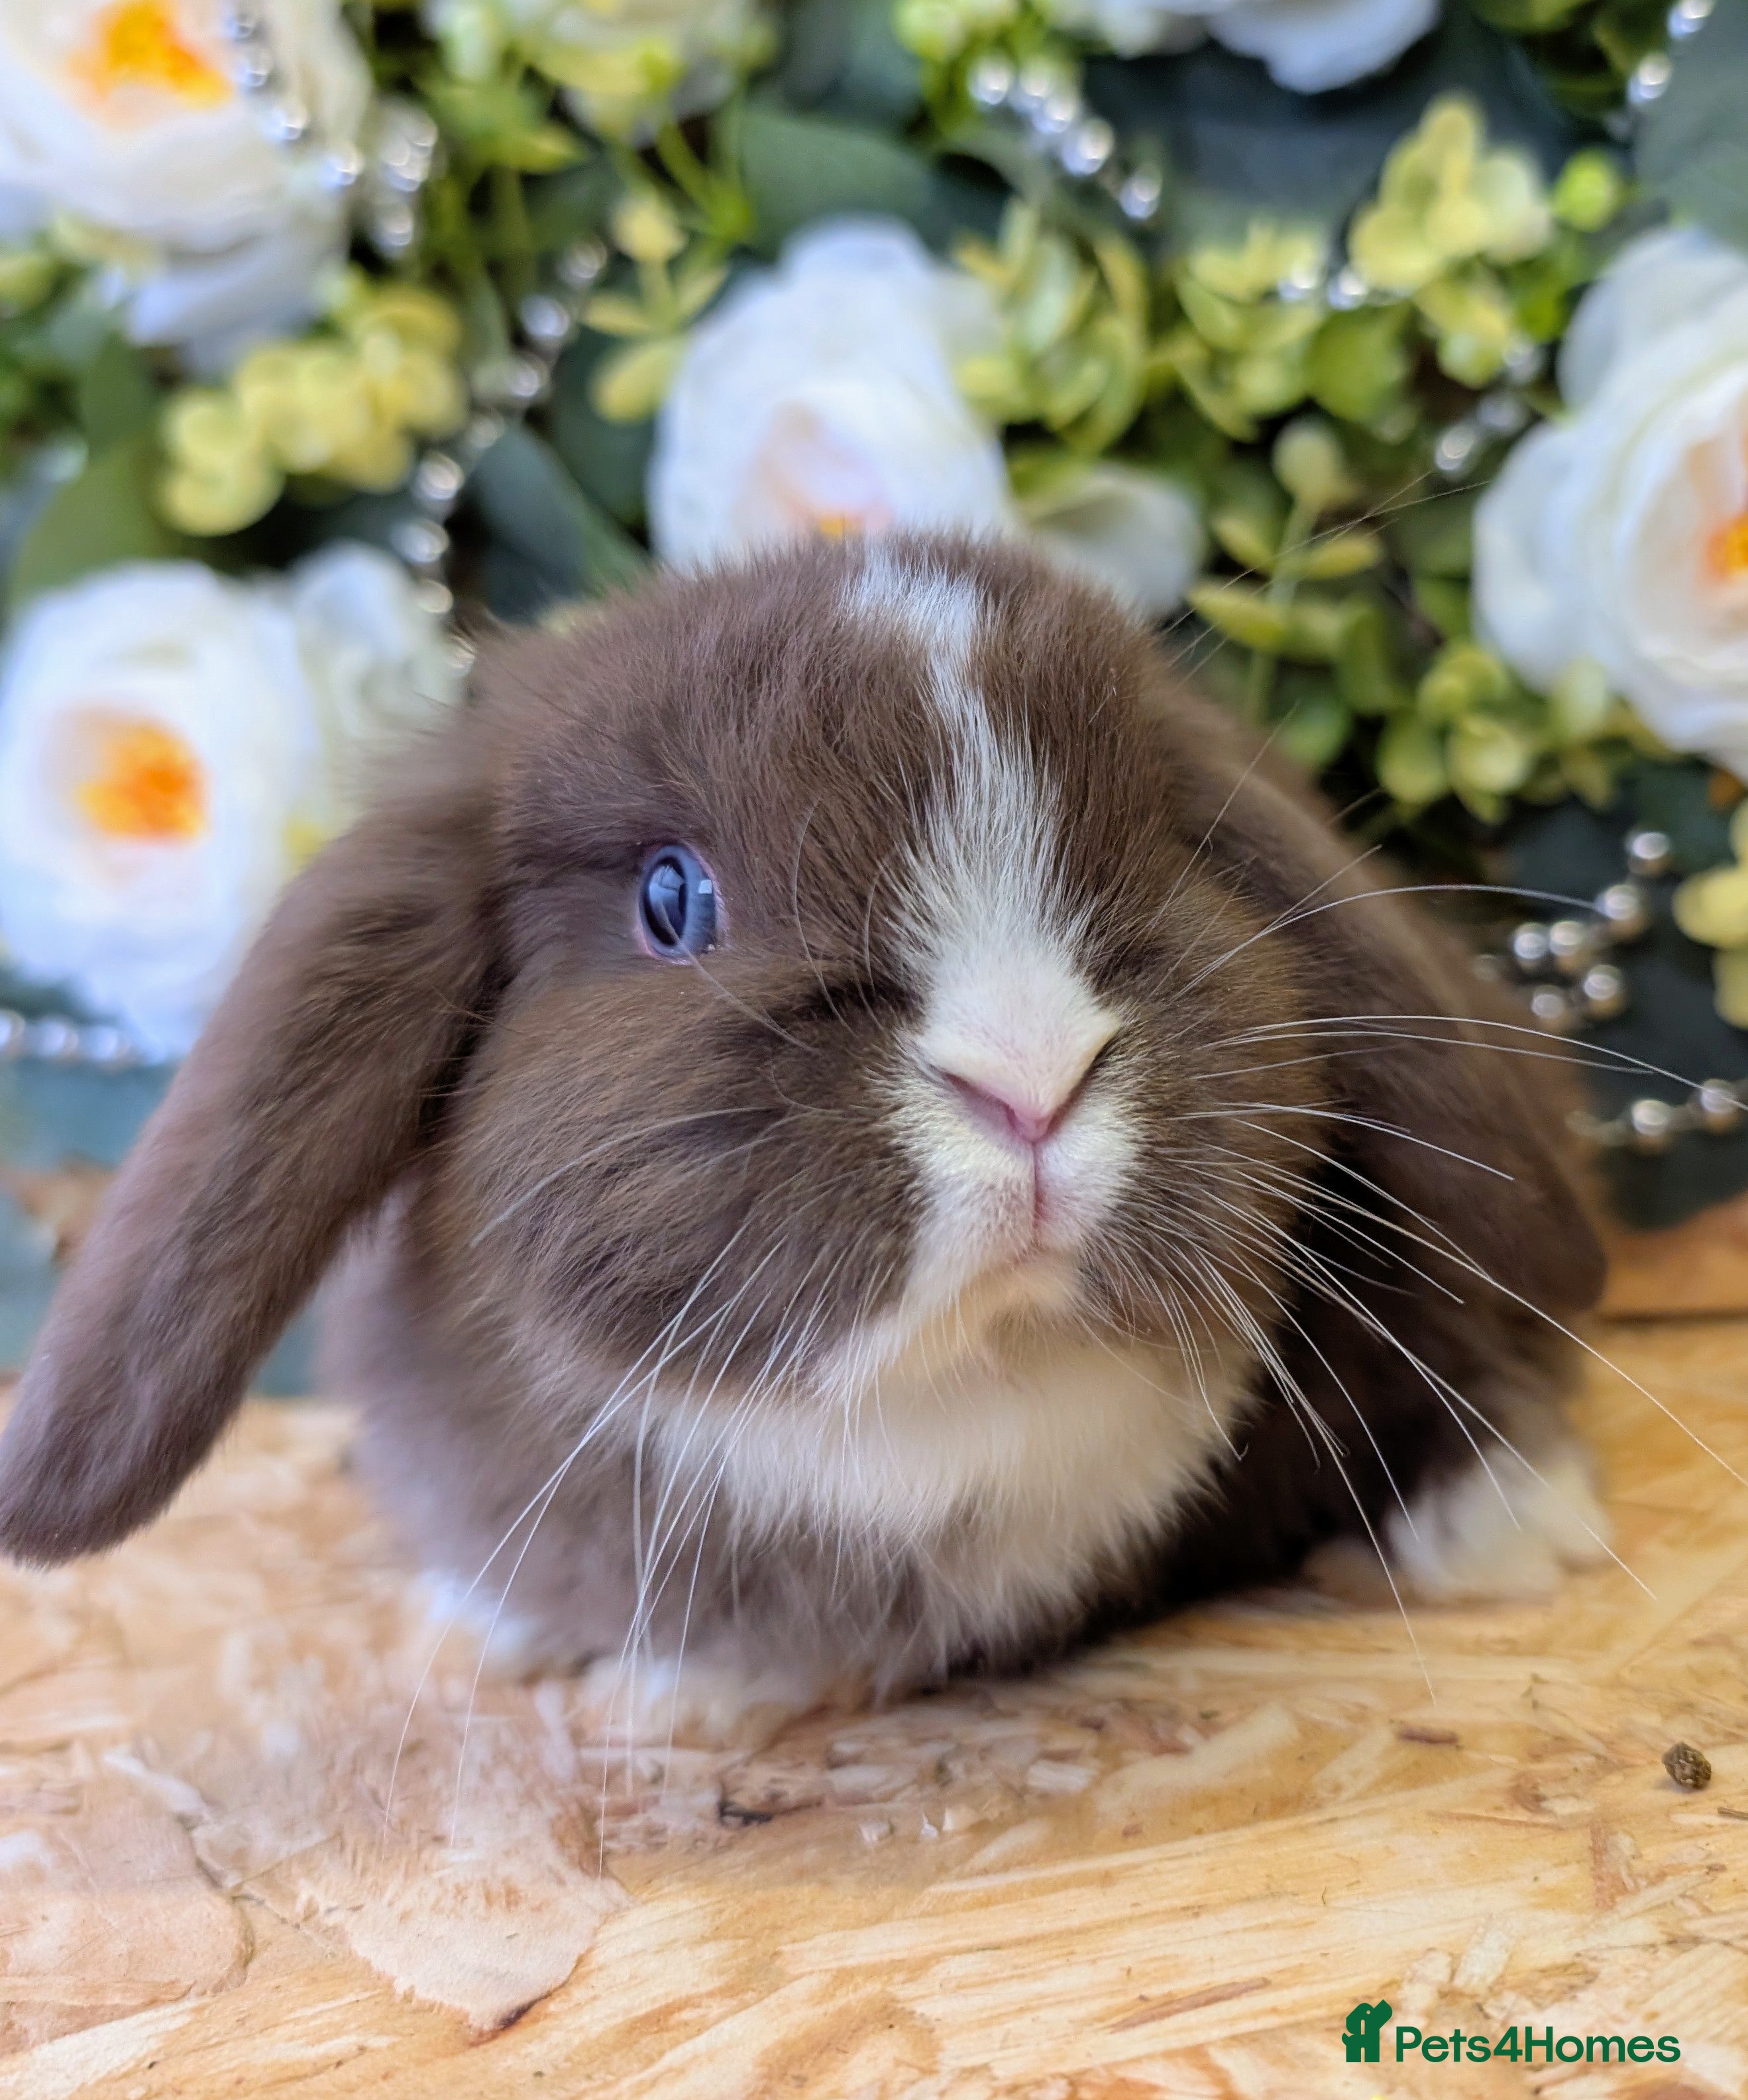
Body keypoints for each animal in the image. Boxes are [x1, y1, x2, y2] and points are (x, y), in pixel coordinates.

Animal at [0, 532, 1608, 1719]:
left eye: (1153, 847)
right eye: (671, 899)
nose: (1029, 1080)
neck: (930, 1415)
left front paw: (674, 1700)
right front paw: (493, 1634)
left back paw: (1501, 1536)